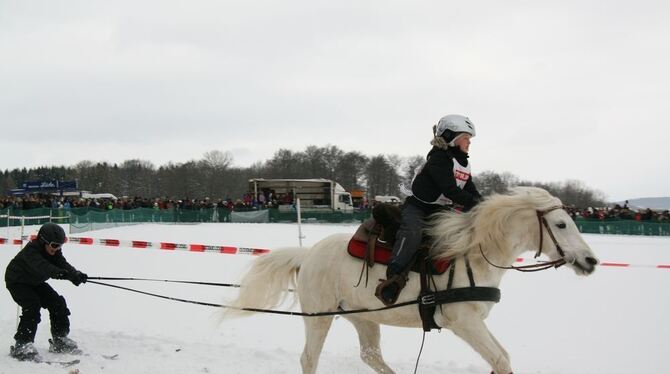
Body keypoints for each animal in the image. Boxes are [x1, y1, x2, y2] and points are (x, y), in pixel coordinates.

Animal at [224, 187, 600, 374]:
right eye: (562, 224)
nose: (591, 261)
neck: (473, 254)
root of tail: (308, 254)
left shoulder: (476, 322)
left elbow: (502, 358)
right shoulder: (465, 323)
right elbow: (501, 360)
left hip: (364, 318)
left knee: (371, 356)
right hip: (319, 317)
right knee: (308, 360)